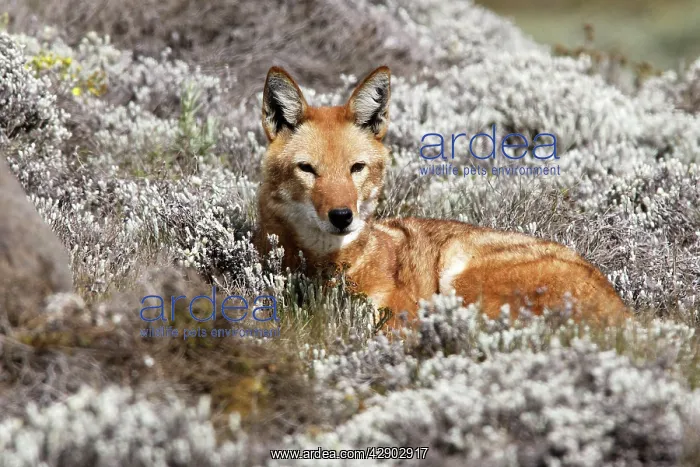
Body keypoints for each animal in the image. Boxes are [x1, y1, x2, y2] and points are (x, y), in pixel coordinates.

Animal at [254, 65, 629, 329]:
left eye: (356, 168)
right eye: (308, 169)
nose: (343, 216)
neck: (326, 269)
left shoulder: (399, 314)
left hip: (460, 275)